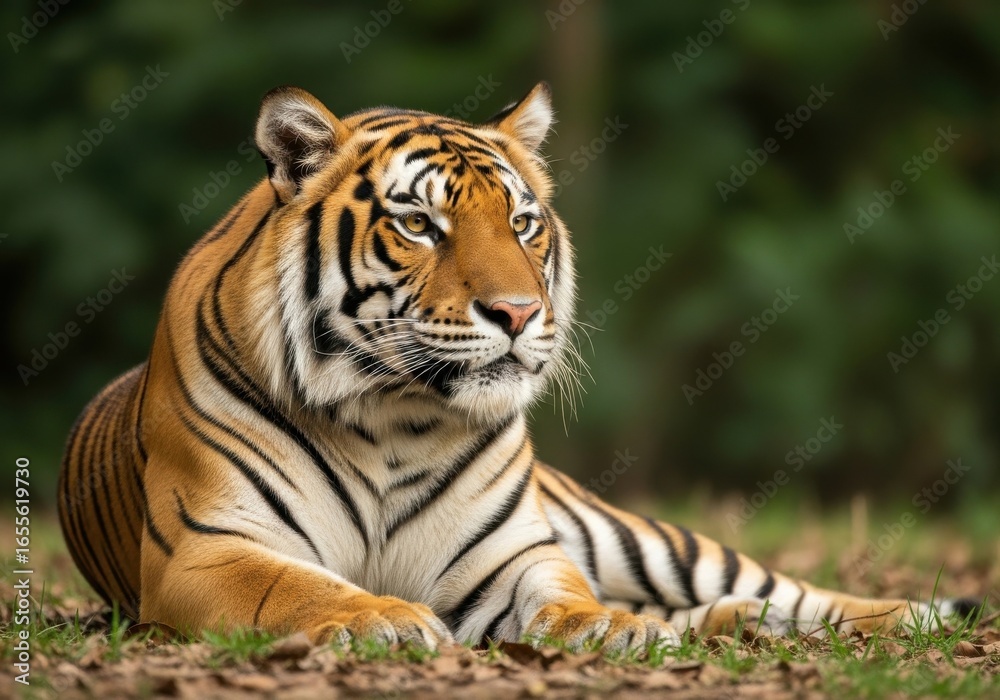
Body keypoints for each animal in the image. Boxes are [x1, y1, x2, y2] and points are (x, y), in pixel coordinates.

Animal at [58, 83, 977, 655]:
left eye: (524, 221)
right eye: (419, 224)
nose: (518, 313)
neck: (388, 414)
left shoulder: (512, 555)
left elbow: (565, 597)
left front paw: (610, 631)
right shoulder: (209, 550)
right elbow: (304, 590)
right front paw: (387, 621)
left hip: (640, 536)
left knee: (780, 586)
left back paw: (907, 616)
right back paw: (739, 625)